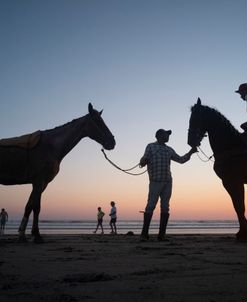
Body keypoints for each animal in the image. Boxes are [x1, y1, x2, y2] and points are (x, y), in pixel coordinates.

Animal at [0, 104, 116, 243]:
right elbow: (36, 207)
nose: (112, 142)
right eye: (98, 121)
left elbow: (30, 206)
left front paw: (23, 235)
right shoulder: (38, 181)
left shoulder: (42, 184)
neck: (51, 146)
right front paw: (36, 235)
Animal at [188, 98, 247, 239]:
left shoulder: (233, 181)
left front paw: (243, 233)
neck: (231, 146)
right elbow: (238, 206)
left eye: (195, 118)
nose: (190, 141)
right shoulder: (229, 182)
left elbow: (239, 206)